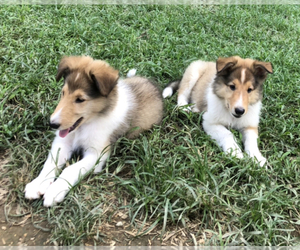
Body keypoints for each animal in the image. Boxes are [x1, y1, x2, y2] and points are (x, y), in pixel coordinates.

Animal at [24, 56, 163, 207]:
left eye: (80, 99)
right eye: (63, 93)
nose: (52, 124)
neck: (85, 125)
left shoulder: (97, 153)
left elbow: (70, 169)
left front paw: (55, 190)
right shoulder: (63, 143)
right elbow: (50, 162)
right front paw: (37, 184)